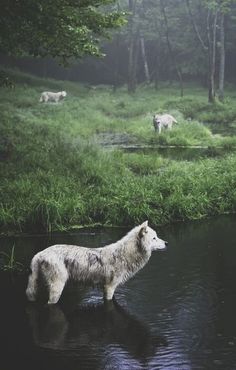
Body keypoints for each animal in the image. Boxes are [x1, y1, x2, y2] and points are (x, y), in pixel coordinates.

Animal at [26, 223, 168, 304]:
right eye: (154, 238)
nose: (167, 243)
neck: (125, 254)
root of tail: (39, 254)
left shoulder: (108, 288)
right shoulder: (109, 288)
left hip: (36, 288)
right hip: (57, 289)